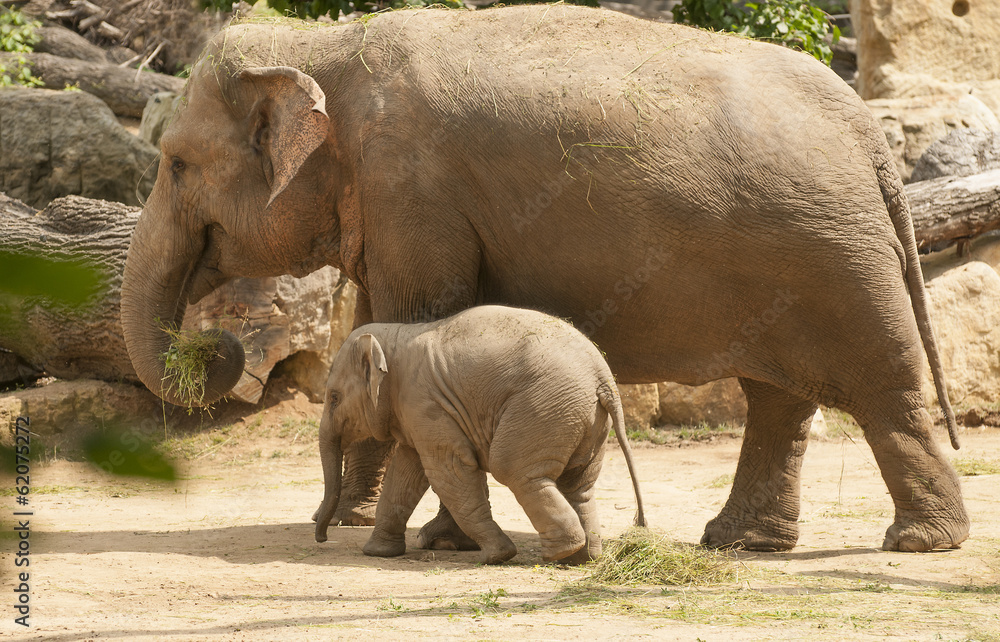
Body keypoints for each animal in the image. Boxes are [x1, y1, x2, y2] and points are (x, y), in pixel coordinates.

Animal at [313, 305, 647, 564]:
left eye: (333, 398)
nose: (322, 537)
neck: (397, 336)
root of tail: (604, 378)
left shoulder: (425, 403)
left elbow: (448, 470)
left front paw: (496, 556)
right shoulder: (417, 413)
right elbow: (407, 472)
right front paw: (378, 552)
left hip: (543, 406)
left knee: (513, 469)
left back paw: (558, 554)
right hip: (585, 419)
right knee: (579, 484)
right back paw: (581, 558)